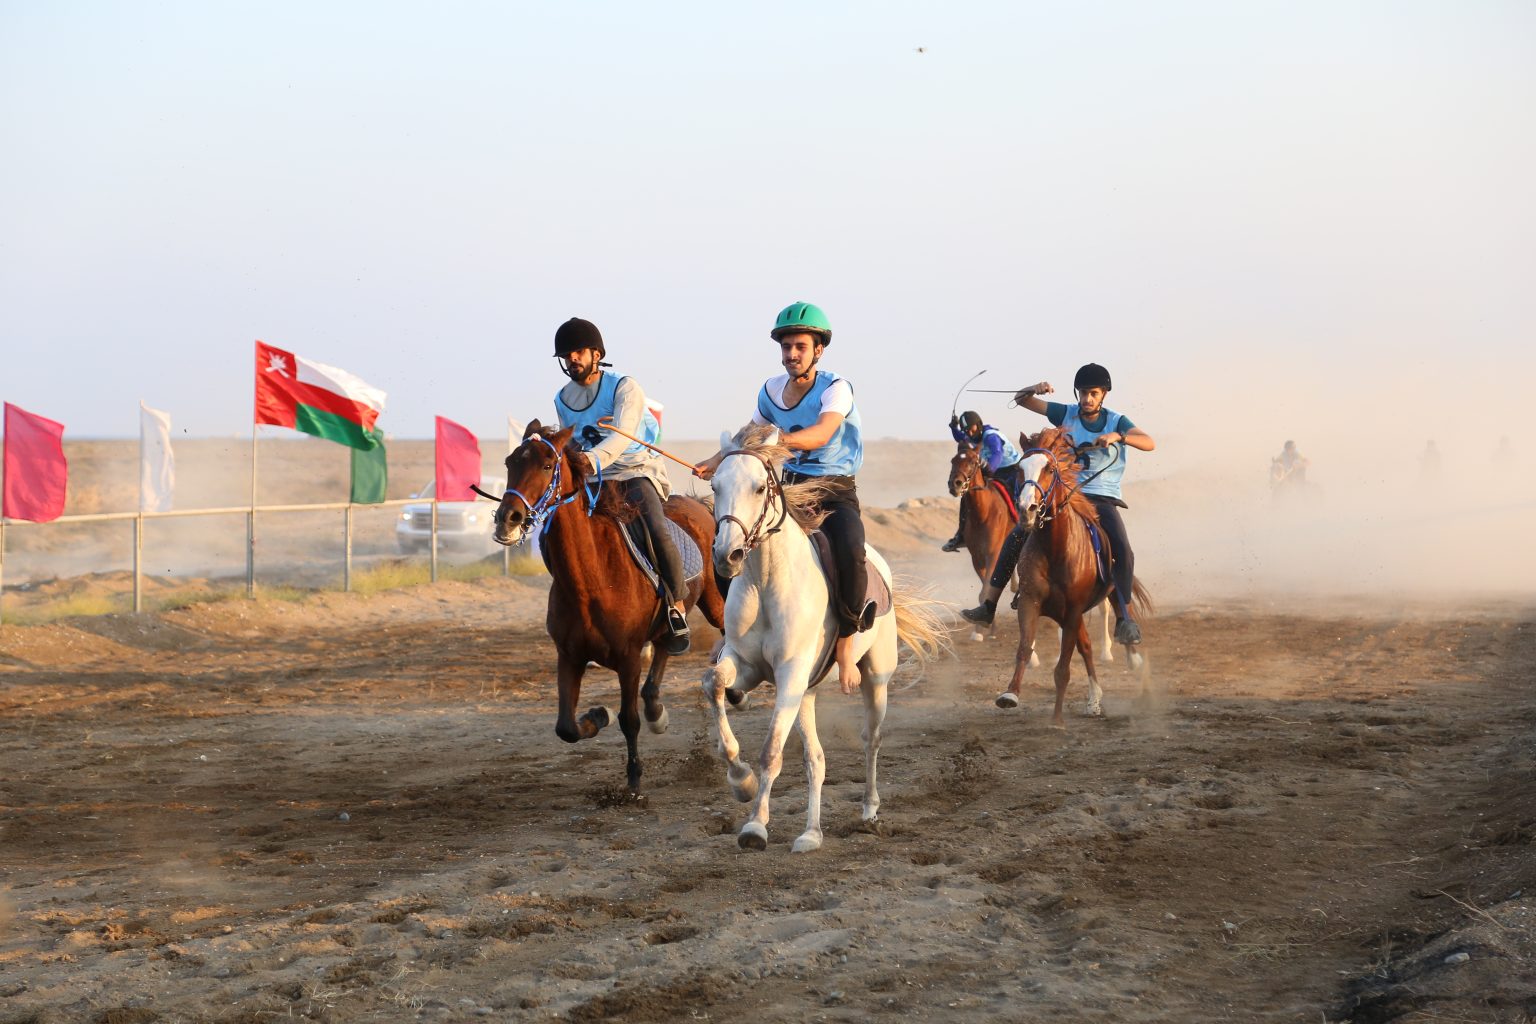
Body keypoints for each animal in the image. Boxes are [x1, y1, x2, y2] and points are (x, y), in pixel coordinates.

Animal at [489, 421, 725, 794]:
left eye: (546, 465)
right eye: (510, 462)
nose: (507, 519)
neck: (591, 581)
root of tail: (699, 504)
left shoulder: (628, 659)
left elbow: (629, 720)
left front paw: (634, 782)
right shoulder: (569, 656)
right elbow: (566, 727)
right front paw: (598, 715)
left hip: (714, 602)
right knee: (665, 644)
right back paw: (656, 709)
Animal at [703, 426, 947, 853]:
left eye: (758, 487)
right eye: (715, 485)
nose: (726, 556)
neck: (767, 581)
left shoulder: (790, 674)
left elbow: (771, 752)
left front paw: (755, 826)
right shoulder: (747, 665)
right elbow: (714, 684)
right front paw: (740, 780)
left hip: (874, 680)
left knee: (871, 740)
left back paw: (869, 810)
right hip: (807, 694)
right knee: (815, 760)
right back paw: (811, 833)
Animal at [998, 426, 1152, 727]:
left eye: (1049, 469)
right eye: (1020, 468)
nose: (1026, 509)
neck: (1056, 547)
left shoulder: (1072, 610)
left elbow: (1063, 669)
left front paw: (1057, 720)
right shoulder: (1031, 602)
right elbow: (1025, 648)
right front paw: (1010, 695)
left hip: (1103, 595)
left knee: (1120, 615)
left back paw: (1133, 657)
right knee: (1087, 647)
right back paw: (1094, 700)